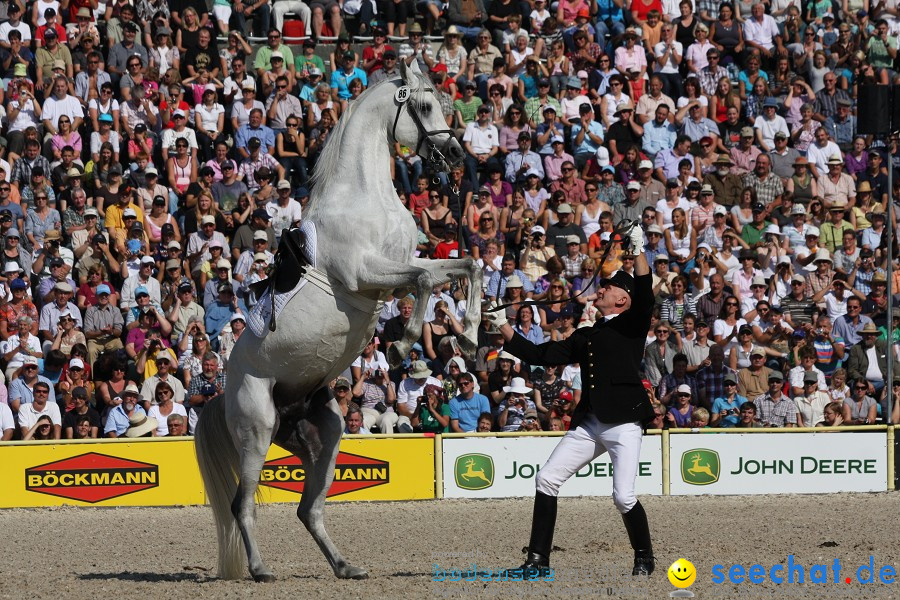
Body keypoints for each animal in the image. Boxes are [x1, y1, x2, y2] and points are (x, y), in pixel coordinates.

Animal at [194, 59, 482, 580]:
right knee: (242, 505)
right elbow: (426, 282)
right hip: (256, 433)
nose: (452, 154)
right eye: (424, 105)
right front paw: (404, 345)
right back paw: (261, 569)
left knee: (309, 508)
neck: (364, 196)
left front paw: (469, 337)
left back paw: (345, 566)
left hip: (323, 435)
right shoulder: (367, 274)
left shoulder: (401, 267)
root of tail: (222, 390)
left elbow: (467, 266)